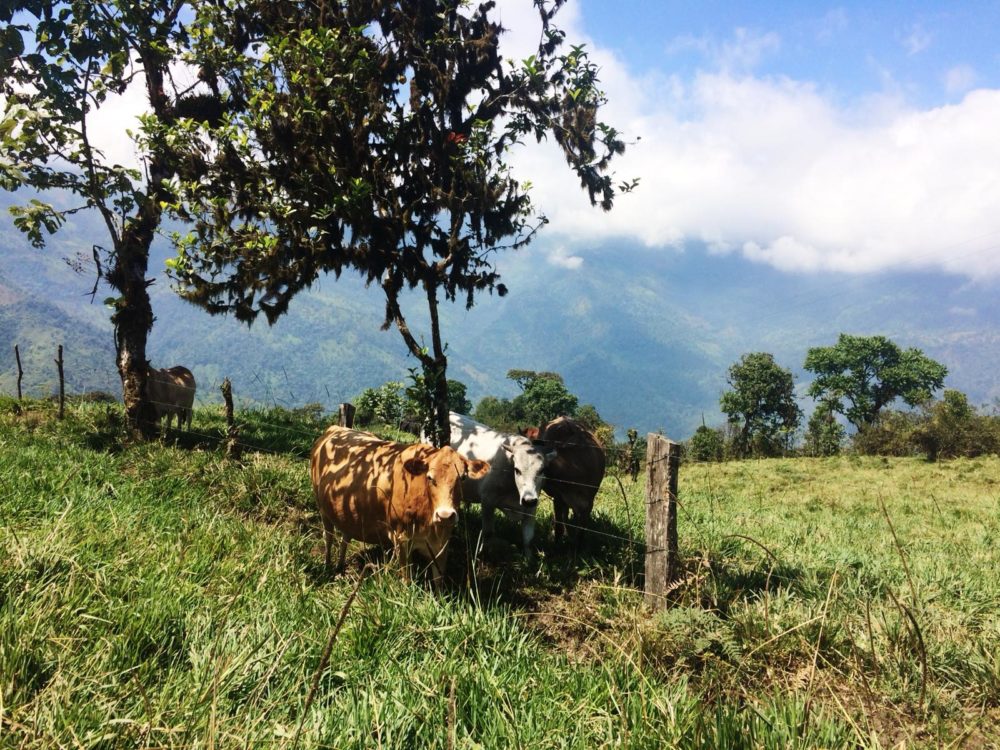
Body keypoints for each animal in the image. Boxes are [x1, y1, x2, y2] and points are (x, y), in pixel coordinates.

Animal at [308, 426, 488, 584]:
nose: (445, 515)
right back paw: (328, 568)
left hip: (347, 511)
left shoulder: (442, 543)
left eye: (462, 478)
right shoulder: (401, 539)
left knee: (345, 537)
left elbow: (438, 581)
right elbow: (406, 579)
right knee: (328, 537)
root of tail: (337, 428)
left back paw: (340, 567)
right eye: (429, 477)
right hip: (322, 509)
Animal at [444, 414, 556, 556]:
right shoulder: (487, 501)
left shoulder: (531, 509)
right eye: (517, 470)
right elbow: (488, 533)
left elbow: (528, 539)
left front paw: (528, 558)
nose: (528, 500)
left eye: (542, 470)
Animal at [536, 418, 604, 548]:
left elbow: (580, 532)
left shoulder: (589, 503)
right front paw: (556, 545)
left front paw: (577, 549)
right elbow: (559, 526)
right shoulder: (559, 497)